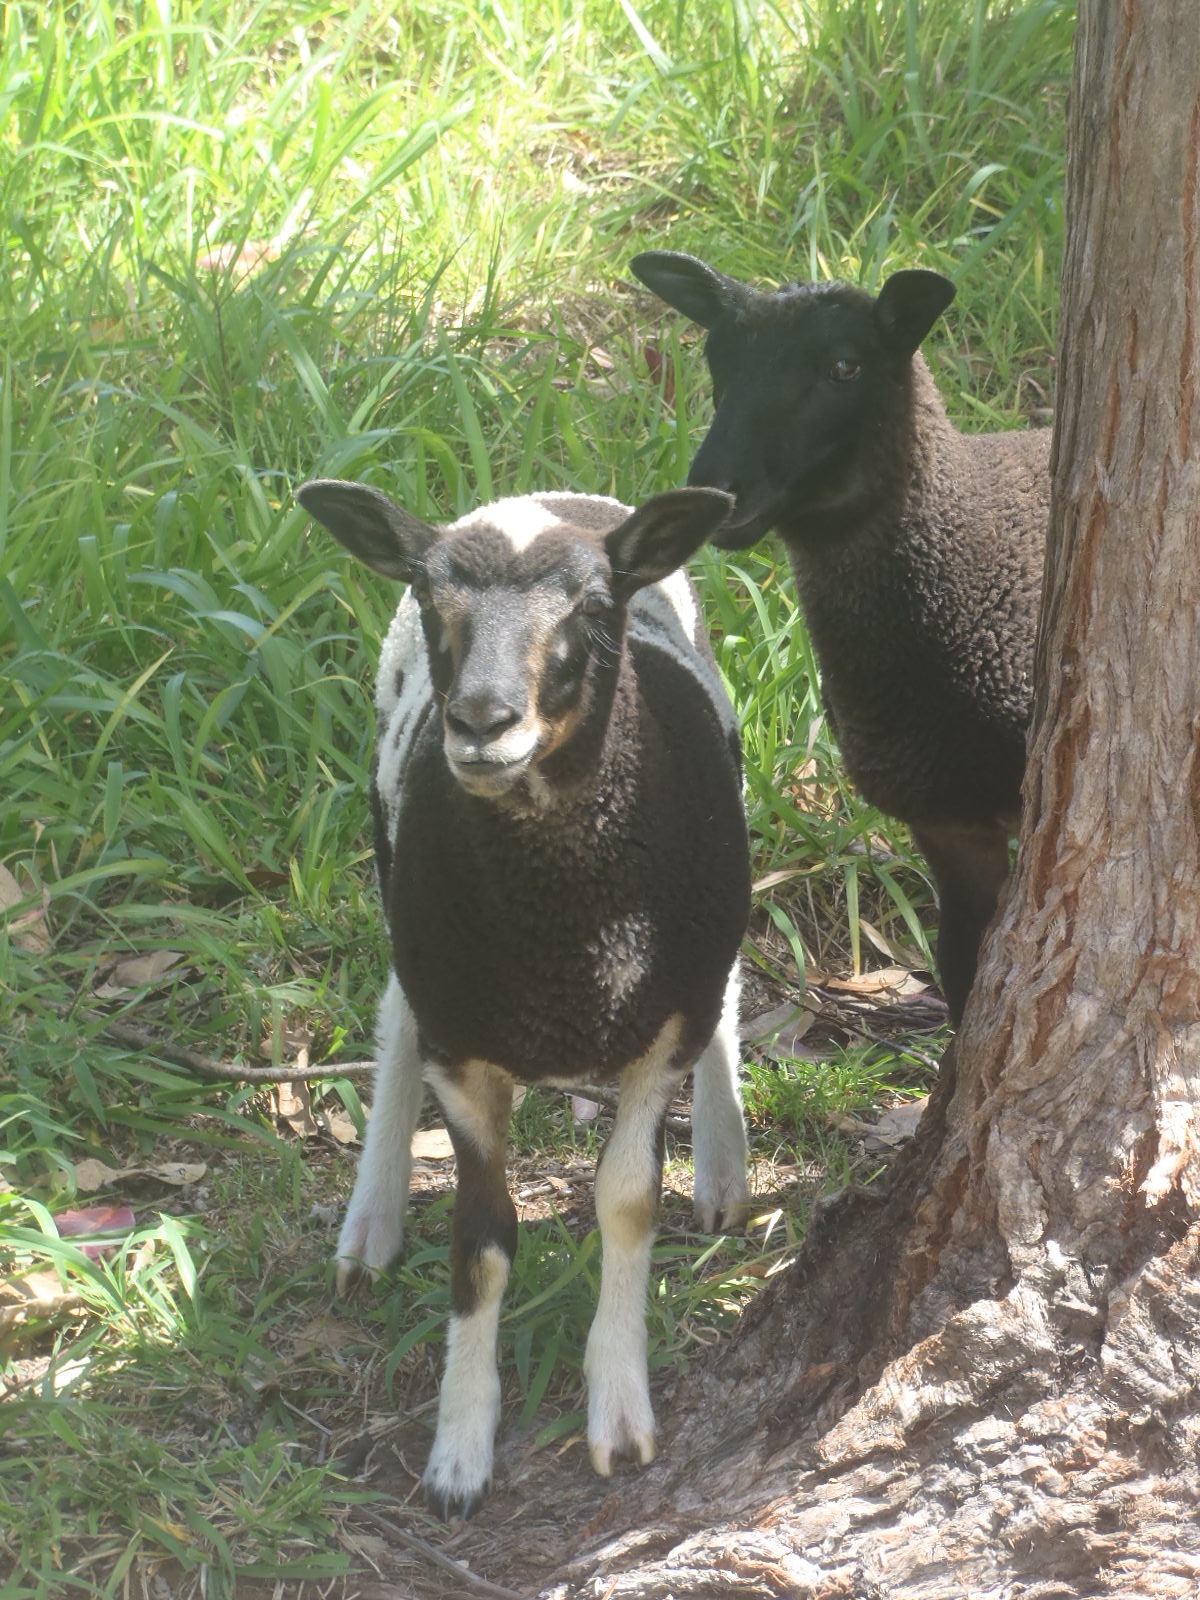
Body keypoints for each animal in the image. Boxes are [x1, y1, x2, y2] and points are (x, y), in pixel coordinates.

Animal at [300, 470, 752, 1510]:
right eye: (431, 599)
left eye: (591, 606)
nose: (480, 721)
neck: (562, 933)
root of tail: (544, 487)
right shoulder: (462, 1045)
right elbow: (482, 1235)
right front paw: (459, 1449)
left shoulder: (663, 1020)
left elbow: (626, 1202)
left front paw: (618, 1411)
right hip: (401, 885)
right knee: (394, 1013)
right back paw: (371, 1219)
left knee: (729, 991)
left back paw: (723, 1164)